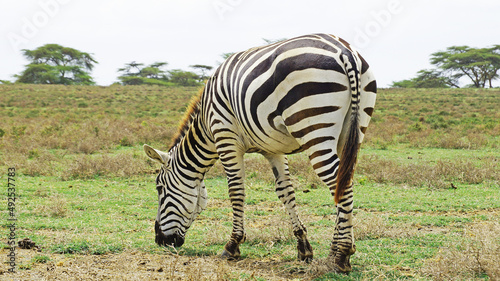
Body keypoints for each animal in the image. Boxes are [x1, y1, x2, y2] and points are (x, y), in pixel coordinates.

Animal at [144, 32, 376, 272]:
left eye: (159, 188)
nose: (160, 240)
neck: (207, 125)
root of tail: (344, 50)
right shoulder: (274, 149)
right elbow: (286, 192)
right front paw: (303, 248)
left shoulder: (226, 138)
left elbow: (236, 191)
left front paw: (232, 245)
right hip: (353, 130)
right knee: (343, 182)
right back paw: (334, 252)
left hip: (314, 127)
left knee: (340, 185)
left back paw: (341, 255)